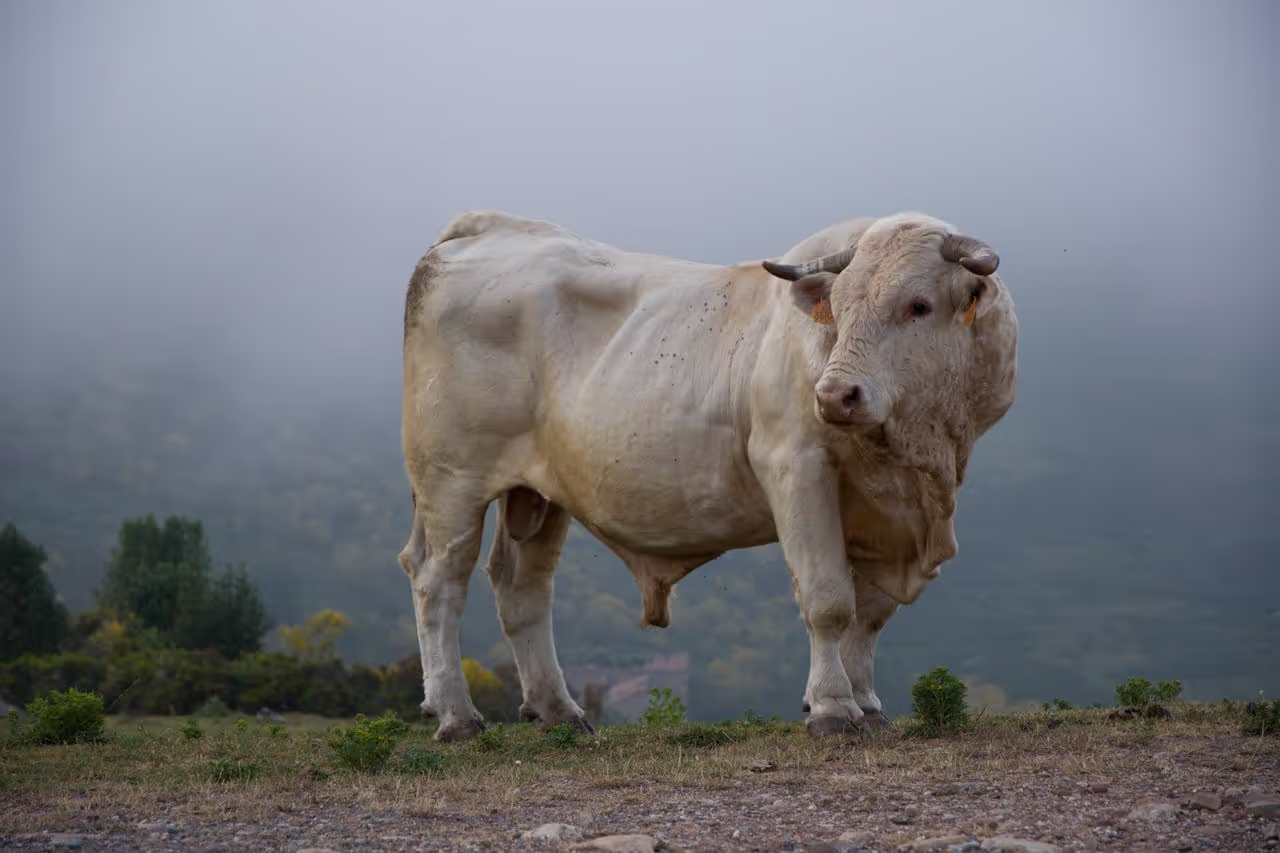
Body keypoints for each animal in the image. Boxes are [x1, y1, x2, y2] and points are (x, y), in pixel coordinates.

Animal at [398, 210, 1018, 740]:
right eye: (838, 307)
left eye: (918, 305)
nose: (834, 395)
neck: (920, 455)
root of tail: (486, 227)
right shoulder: (796, 465)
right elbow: (829, 600)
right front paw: (833, 708)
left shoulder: (883, 509)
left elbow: (869, 615)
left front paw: (867, 704)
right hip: (450, 478)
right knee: (439, 579)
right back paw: (457, 716)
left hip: (538, 491)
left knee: (522, 586)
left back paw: (559, 711)